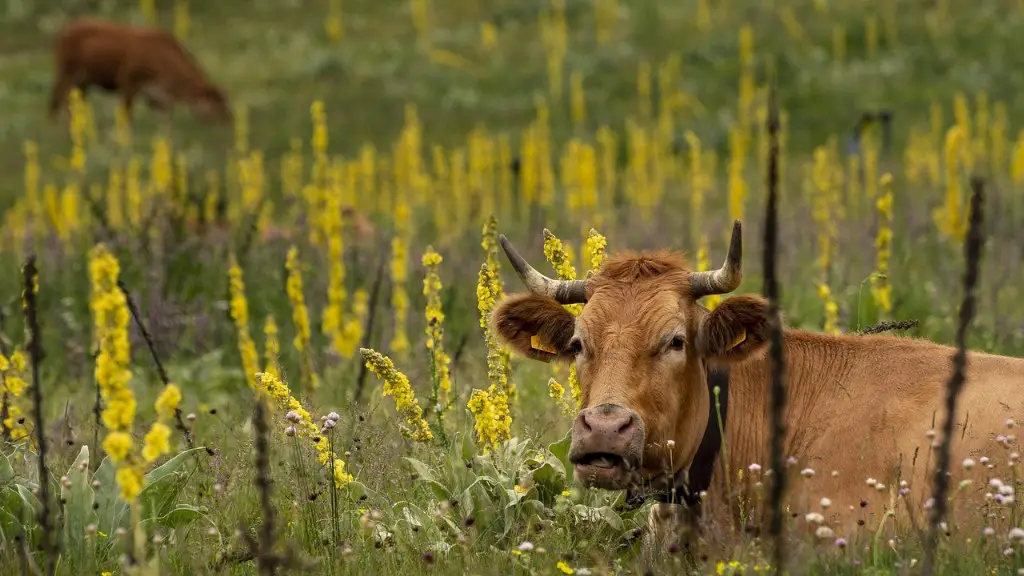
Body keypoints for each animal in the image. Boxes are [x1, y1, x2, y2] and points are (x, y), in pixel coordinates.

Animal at [48, 16, 231, 121]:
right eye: (219, 104)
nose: (229, 119)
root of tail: (65, 29)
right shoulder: (128, 83)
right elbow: (127, 116)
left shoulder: (157, 97)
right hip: (65, 75)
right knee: (55, 102)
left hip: (83, 83)